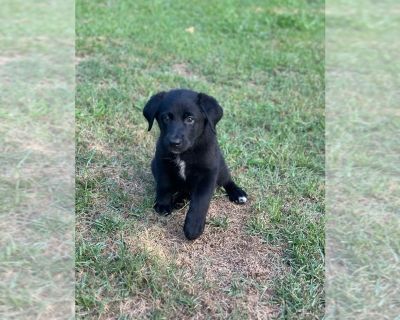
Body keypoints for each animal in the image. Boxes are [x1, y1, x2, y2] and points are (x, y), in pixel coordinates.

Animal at [142, 89, 245, 239]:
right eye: (166, 118)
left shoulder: (208, 173)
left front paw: (193, 227)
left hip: (221, 167)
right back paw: (179, 200)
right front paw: (163, 204)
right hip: (153, 164)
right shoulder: (162, 162)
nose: (174, 142)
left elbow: (200, 201)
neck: (185, 153)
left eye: (190, 119)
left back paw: (238, 193)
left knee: (227, 180)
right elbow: (164, 185)